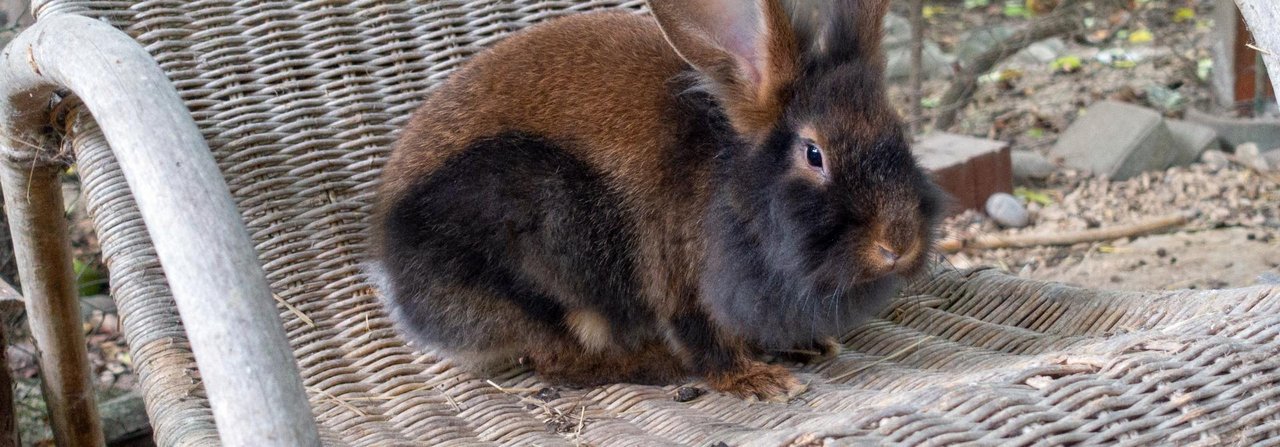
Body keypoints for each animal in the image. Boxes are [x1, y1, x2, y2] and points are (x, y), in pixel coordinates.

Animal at [366, 0, 947, 399]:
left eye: (899, 135)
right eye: (814, 154)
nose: (898, 244)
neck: (735, 185)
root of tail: (395, 280)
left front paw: (810, 345)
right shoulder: (681, 282)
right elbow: (705, 338)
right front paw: (758, 382)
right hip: (550, 263)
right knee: (557, 361)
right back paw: (660, 365)